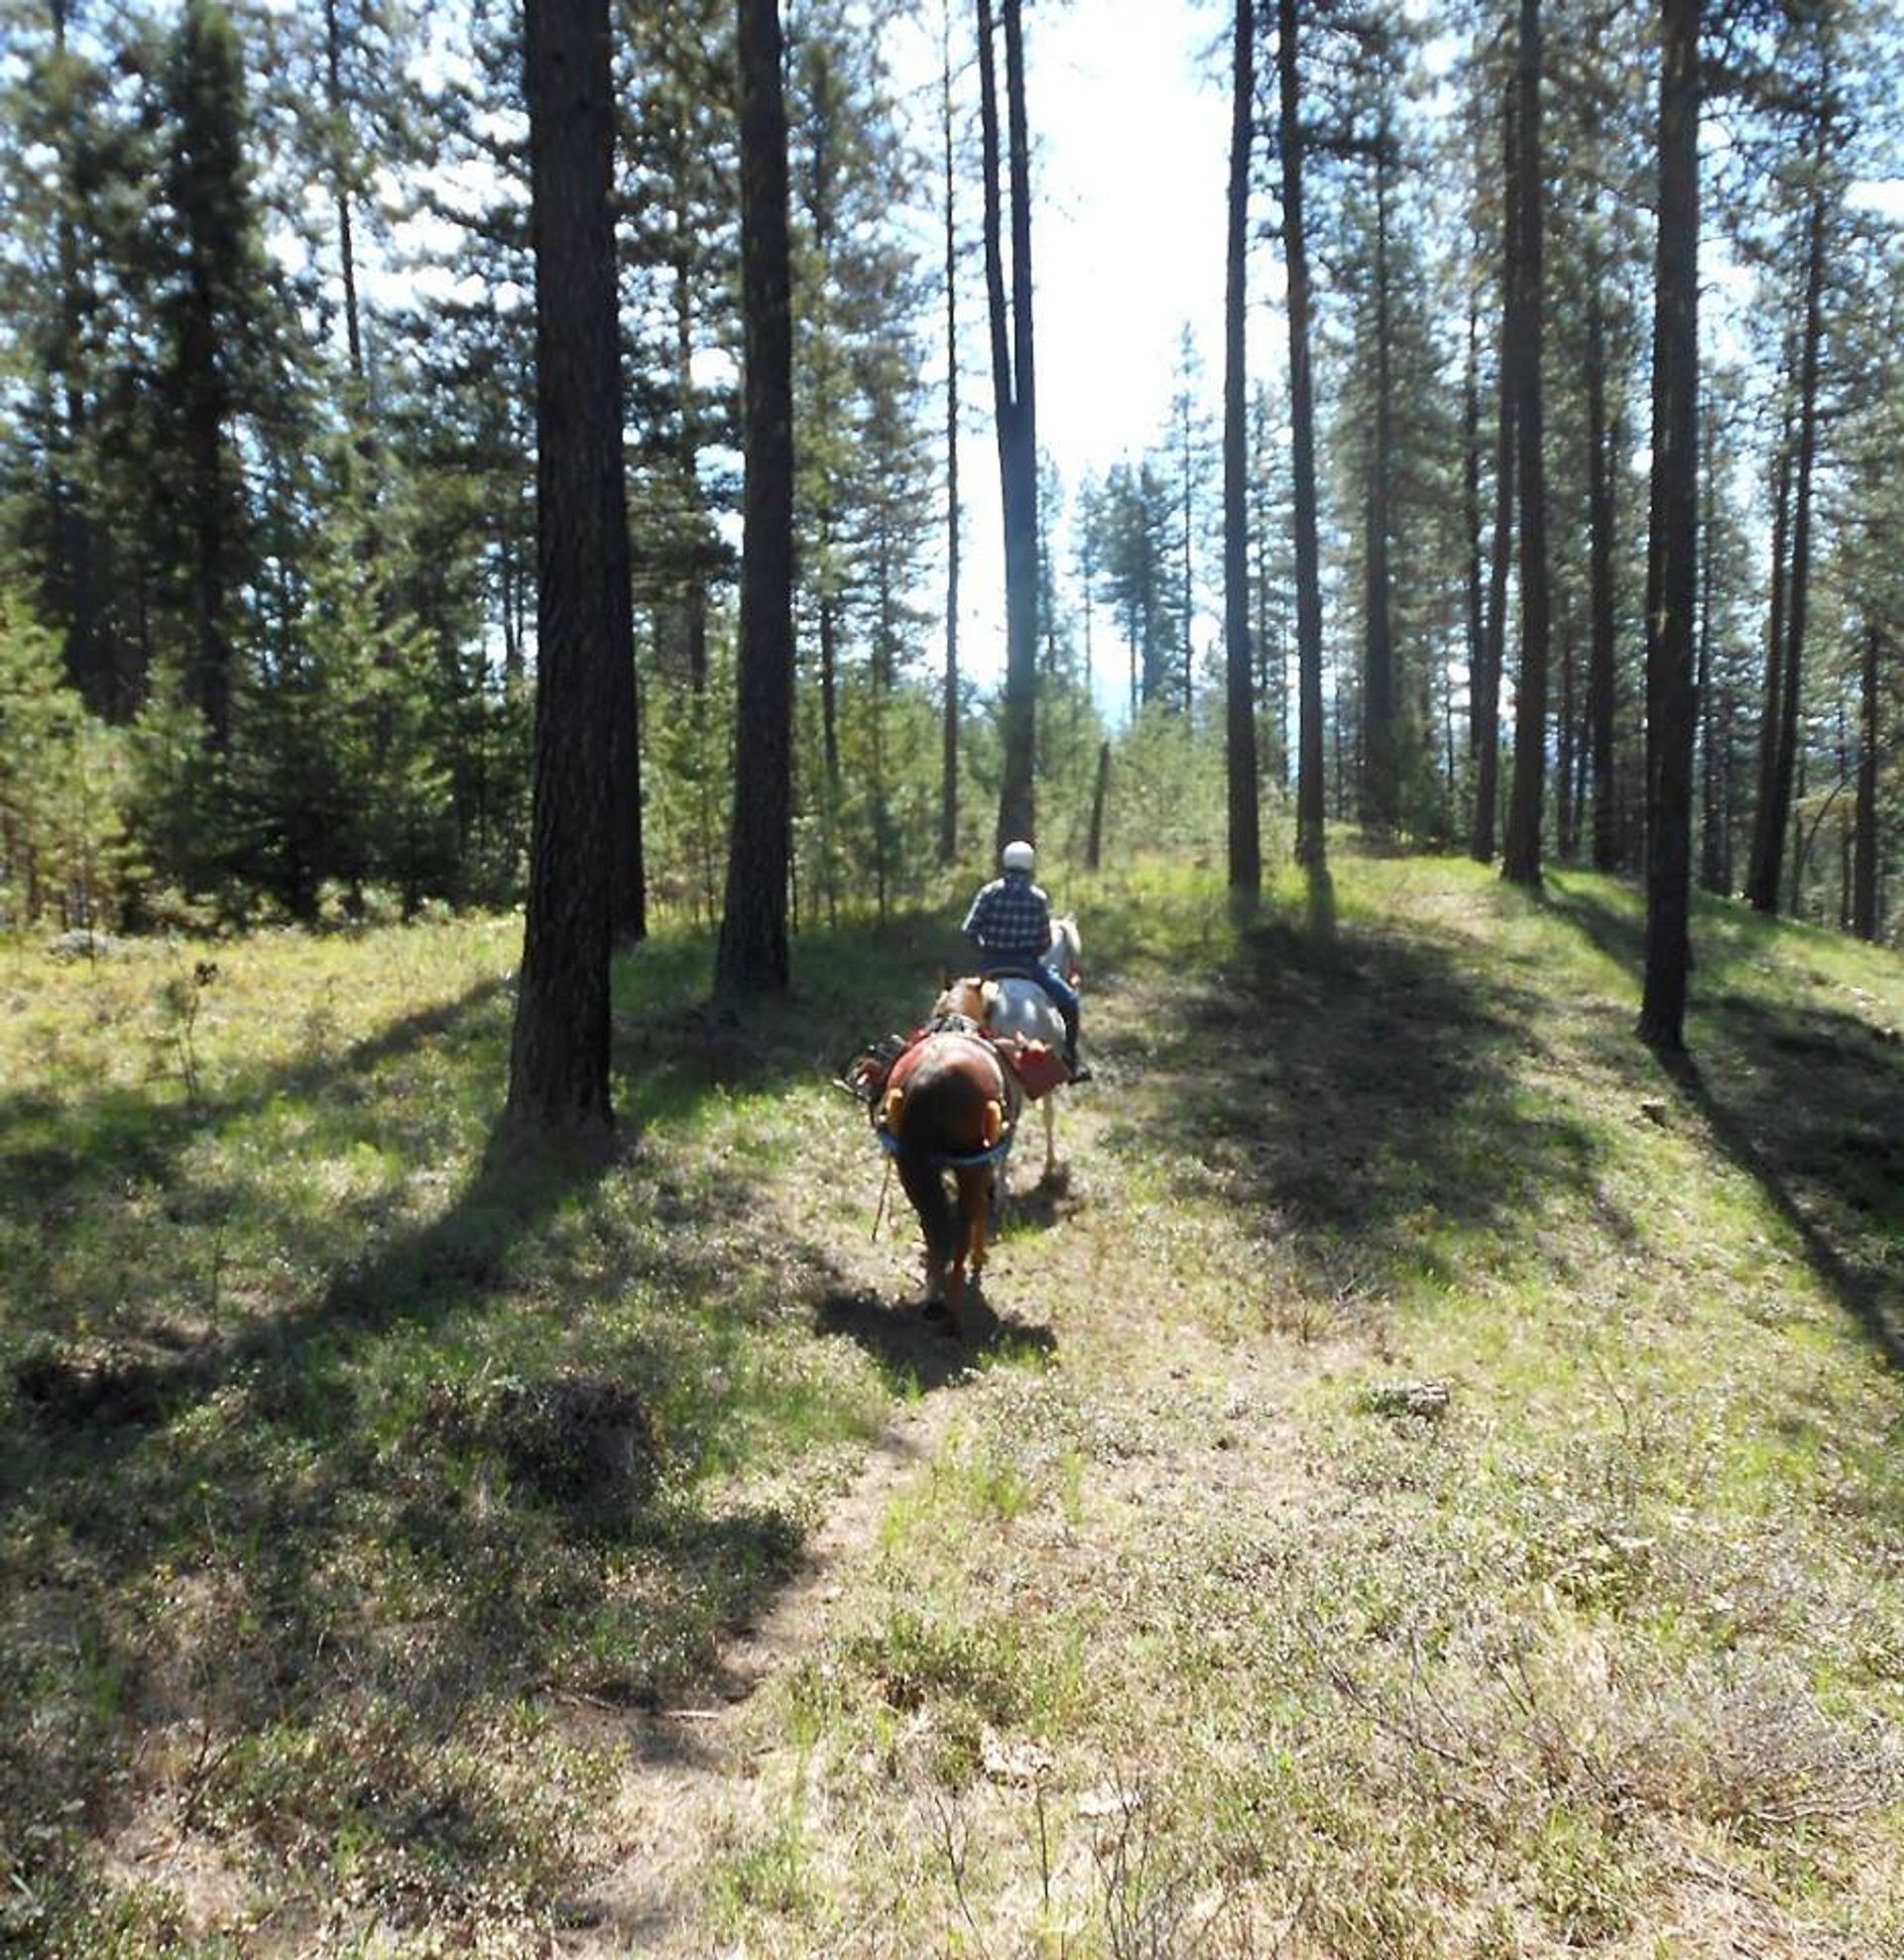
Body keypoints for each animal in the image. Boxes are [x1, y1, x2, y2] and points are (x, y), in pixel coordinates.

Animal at [881, 1027, 1018, 1332]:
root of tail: (932, 1080)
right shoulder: (981, 1166)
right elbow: (982, 1208)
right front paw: (979, 1259)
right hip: (970, 1169)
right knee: (964, 1224)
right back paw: (953, 1313)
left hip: (912, 1169)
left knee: (933, 1225)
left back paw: (934, 1296)